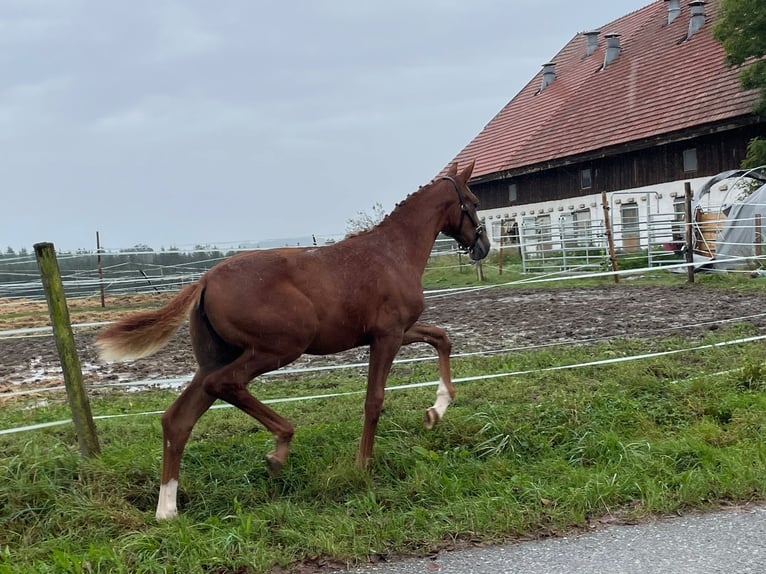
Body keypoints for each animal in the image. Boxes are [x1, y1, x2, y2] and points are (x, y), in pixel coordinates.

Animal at [97, 160, 492, 520]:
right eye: (473, 200)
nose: (483, 245)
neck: (393, 252)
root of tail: (205, 280)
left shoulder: (398, 332)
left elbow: (441, 338)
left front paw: (435, 411)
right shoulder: (387, 336)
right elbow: (374, 400)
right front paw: (362, 465)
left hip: (215, 358)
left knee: (178, 418)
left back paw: (167, 510)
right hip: (279, 348)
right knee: (225, 384)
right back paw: (278, 448)